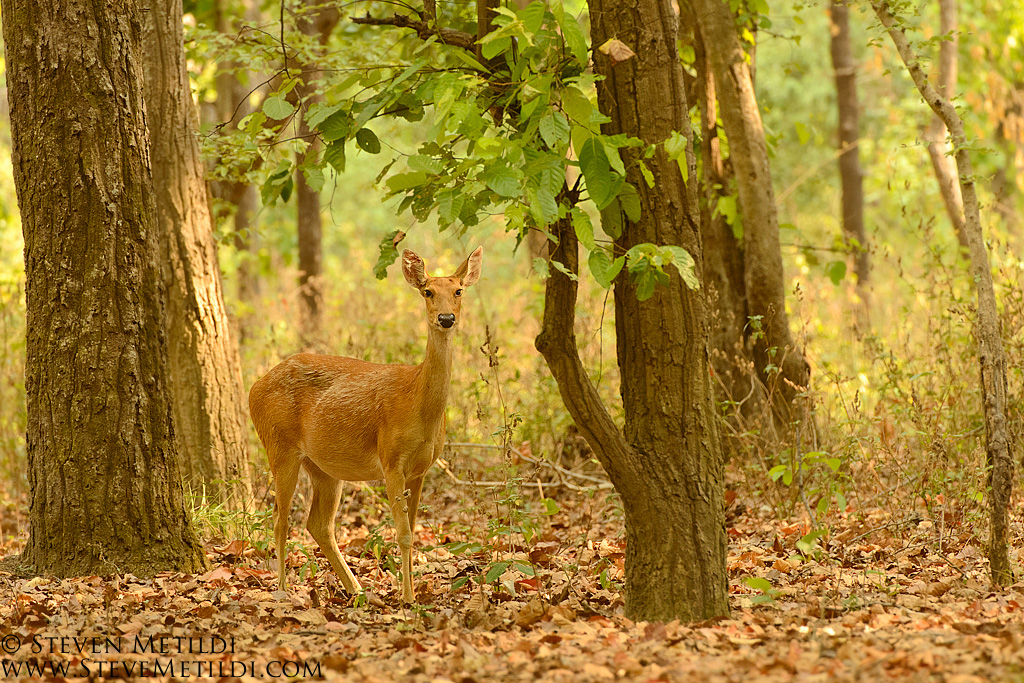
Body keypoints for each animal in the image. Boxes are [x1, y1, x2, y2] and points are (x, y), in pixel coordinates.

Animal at [248, 247, 483, 603]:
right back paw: (284, 590)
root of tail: (253, 388)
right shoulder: (391, 459)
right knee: (280, 518)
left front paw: (409, 592)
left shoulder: (421, 469)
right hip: (279, 446)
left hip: (323, 467)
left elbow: (413, 530)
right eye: (427, 291)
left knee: (318, 524)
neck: (417, 401)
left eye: (458, 291)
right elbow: (403, 534)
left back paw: (356, 589)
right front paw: (408, 598)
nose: (446, 319)